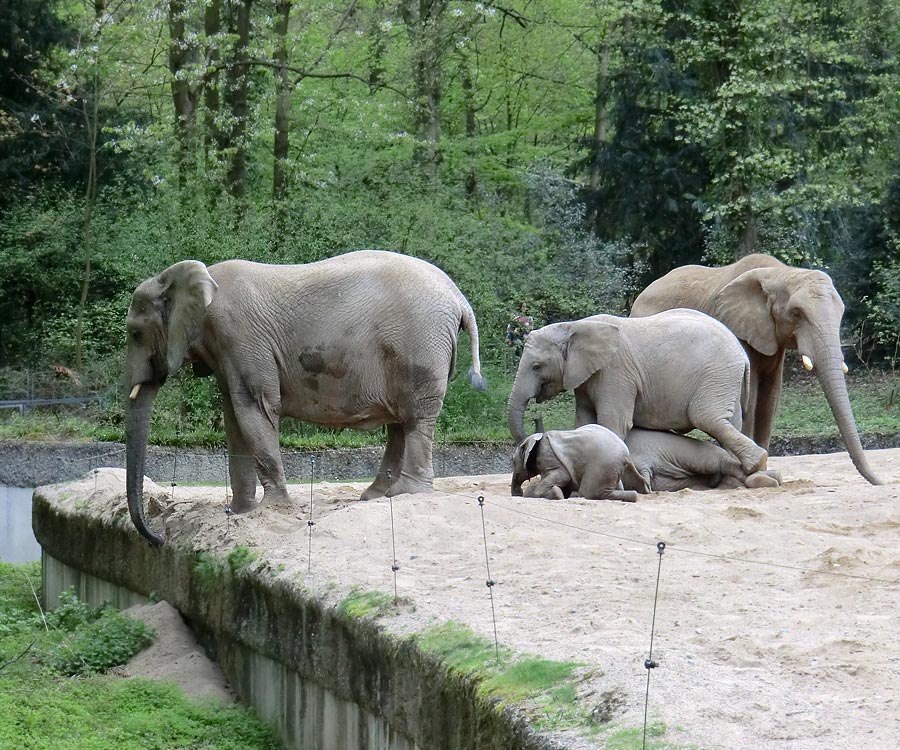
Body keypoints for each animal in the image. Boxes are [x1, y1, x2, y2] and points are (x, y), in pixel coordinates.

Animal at [126, 251, 486, 548]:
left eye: (134, 333)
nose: (159, 538)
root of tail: (460, 299)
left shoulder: (240, 336)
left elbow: (255, 408)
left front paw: (271, 509)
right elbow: (233, 416)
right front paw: (239, 513)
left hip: (420, 343)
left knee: (415, 418)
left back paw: (403, 494)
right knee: (400, 422)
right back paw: (375, 496)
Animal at [506, 306, 768, 472]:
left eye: (537, 366)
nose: (535, 419)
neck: (575, 326)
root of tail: (741, 353)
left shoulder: (615, 372)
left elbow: (613, 423)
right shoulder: (586, 377)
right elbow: (584, 422)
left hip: (717, 374)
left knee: (707, 418)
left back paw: (757, 464)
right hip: (725, 378)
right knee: (729, 422)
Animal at [506, 426, 648, 502]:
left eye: (512, 460)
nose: (517, 493)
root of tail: (627, 456)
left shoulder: (549, 456)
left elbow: (562, 476)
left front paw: (555, 494)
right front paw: (560, 494)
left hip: (603, 465)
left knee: (589, 492)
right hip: (613, 468)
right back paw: (632, 496)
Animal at [628, 254, 884, 488]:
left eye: (841, 312)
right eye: (797, 313)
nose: (879, 482)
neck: (781, 272)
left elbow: (769, 401)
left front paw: (765, 474)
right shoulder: (738, 328)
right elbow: (749, 404)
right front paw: (747, 479)